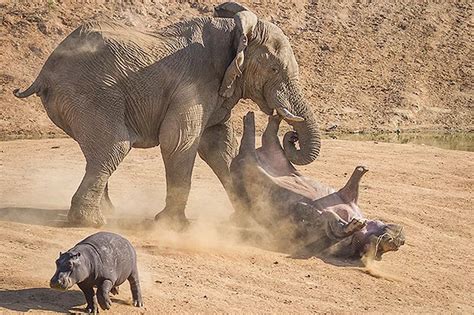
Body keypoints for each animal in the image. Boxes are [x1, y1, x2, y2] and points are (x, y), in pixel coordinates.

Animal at [12, 0, 320, 227]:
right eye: (274, 69)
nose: (289, 132)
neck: (234, 31)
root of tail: (45, 71)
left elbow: (219, 146)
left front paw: (248, 220)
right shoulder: (194, 82)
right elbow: (179, 141)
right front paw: (174, 226)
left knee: (99, 152)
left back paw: (107, 214)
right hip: (90, 93)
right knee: (114, 148)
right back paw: (91, 223)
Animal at [230, 112, 404, 260]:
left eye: (383, 248)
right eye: (389, 245)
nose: (401, 239)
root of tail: (236, 160)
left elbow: (332, 224)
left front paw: (355, 223)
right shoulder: (346, 196)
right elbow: (349, 190)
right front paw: (362, 169)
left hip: (250, 163)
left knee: (253, 141)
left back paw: (253, 118)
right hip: (262, 154)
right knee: (264, 136)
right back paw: (260, 117)